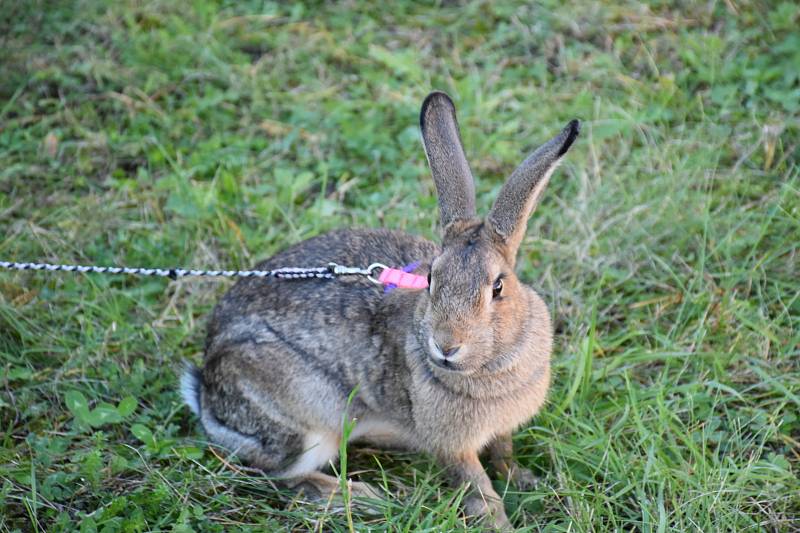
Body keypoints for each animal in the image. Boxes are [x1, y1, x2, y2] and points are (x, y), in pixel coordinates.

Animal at [180, 89, 580, 524]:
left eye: (498, 287)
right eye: (432, 279)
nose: (447, 345)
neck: (489, 366)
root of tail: (206, 392)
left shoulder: (501, 429)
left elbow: (503, 455)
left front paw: (526, 480)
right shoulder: (450, 445)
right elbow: (476, 486)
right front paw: (498, 523)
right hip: (309, 421)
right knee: (281, 478)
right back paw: (367, 497)